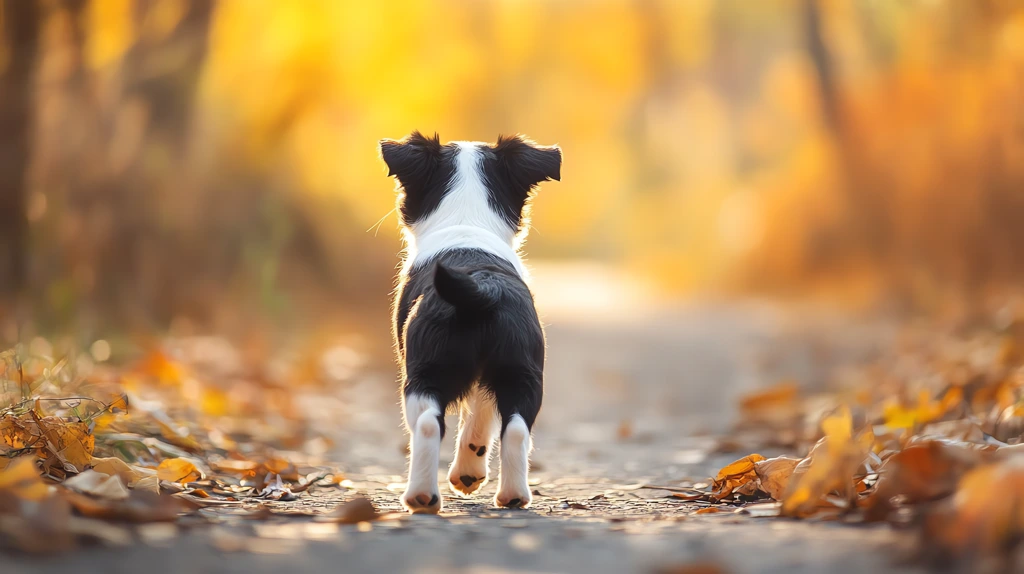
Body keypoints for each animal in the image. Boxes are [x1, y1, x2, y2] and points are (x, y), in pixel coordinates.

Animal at [382, 131, 565, 511]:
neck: (466, 223)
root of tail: (483, 288)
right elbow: (481, 420)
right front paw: (469, 475)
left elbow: (473, 417)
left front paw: (465, 476)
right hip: (522, 373)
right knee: (515, 428)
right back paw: (513, 496)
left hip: (423, 371)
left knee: (426, 424)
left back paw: (421, 497)